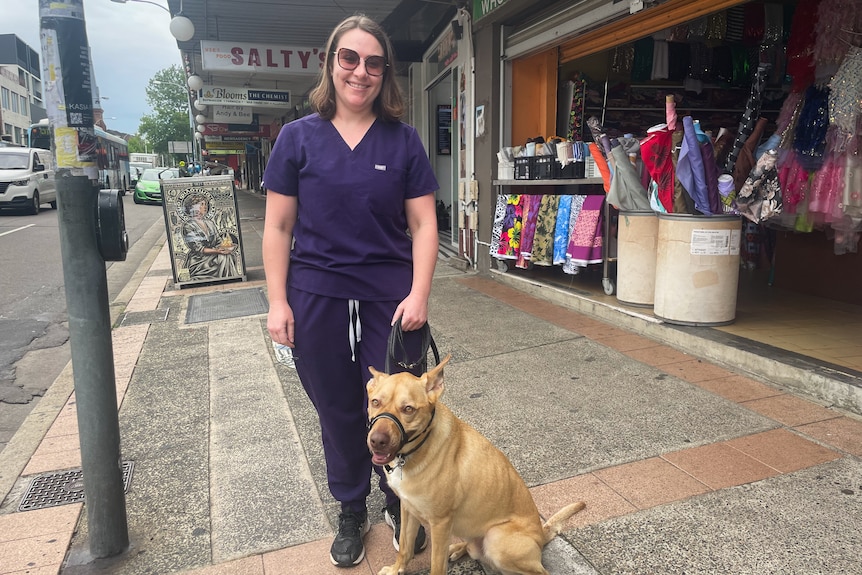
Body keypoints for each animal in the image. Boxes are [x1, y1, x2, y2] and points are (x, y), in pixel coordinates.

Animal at [364, 356, 588, 575]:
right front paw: (396, 569)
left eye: (408, 409)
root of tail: (541, 536)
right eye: (375, 402)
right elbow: (405, 548)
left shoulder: (440, 523)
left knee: (541, 572)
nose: (376, 441)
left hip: (496, 539)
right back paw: (457, 548)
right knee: (471, 547)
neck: (412, 454)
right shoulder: (408, 508)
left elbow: (436, 566)